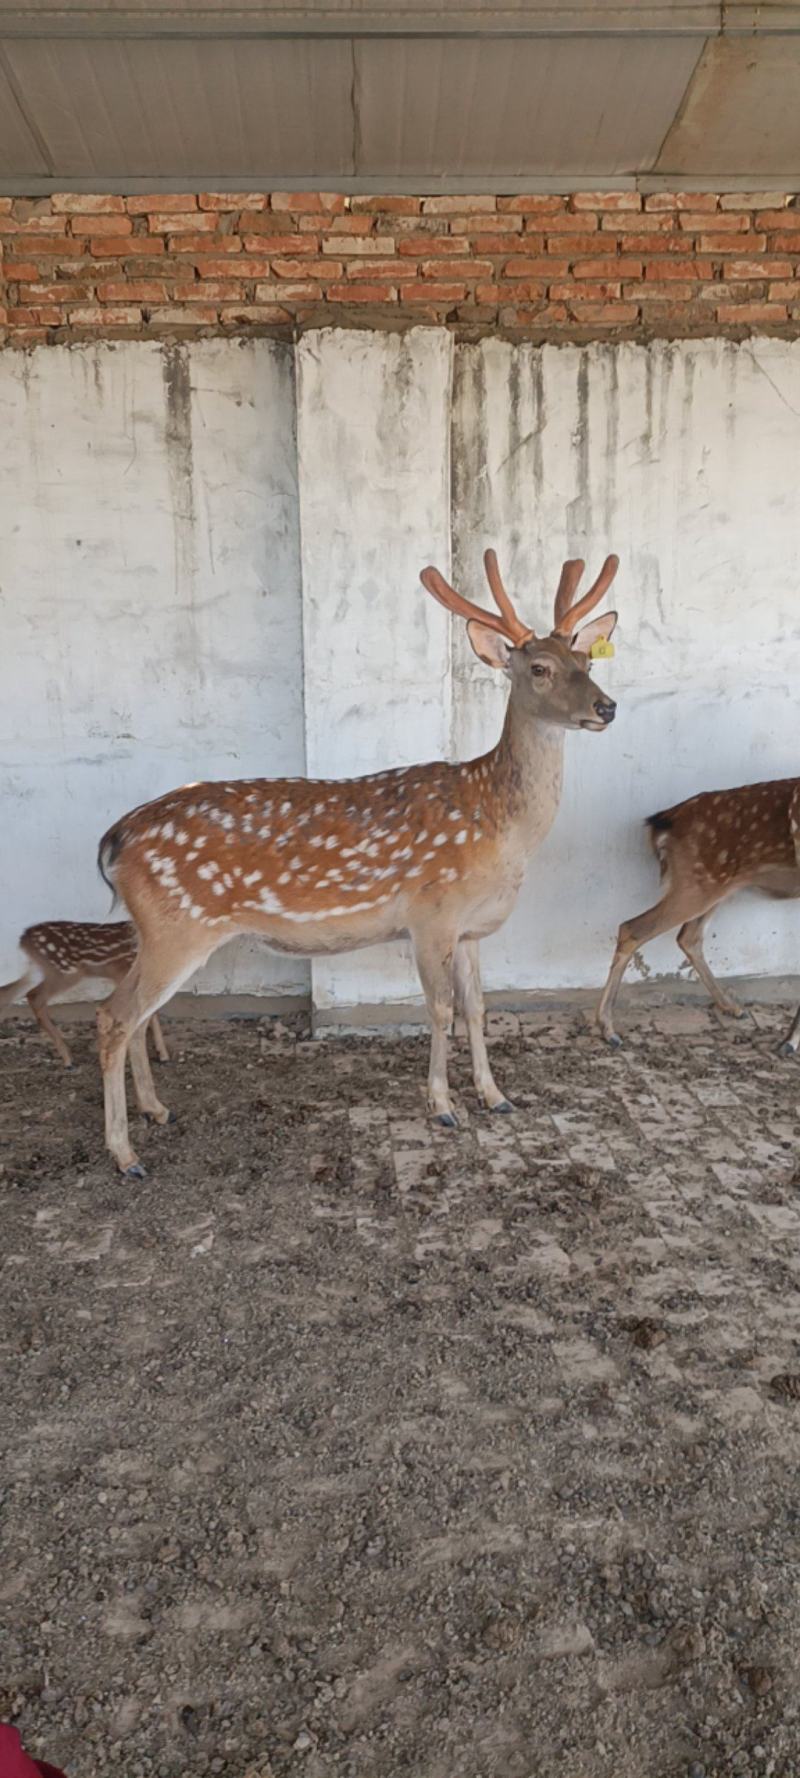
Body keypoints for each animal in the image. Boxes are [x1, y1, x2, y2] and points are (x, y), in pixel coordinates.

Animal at [0, 921, 169, 1069]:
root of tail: (24, 938)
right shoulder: (123, 972)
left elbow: (151, 1011)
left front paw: (162, 1055)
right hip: (65, 972)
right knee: (34, 996)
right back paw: (68, 1060)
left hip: (40, 970)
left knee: (10, 992)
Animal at [95, 546, 620, 1176]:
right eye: (538, 667)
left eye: (585, 658)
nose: (607, 706)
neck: (503, 829)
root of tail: (114, 839)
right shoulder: (431, 913)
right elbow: (439, 1009)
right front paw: (443, 1106)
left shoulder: (470, 928)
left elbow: (477, 1008)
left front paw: (496, 1096)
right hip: (176, 926)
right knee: (113, 1016)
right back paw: (124, 1153)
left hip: (156, 931)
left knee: (135, 1015)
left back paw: (156, 1110)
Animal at [596, 778, 800, 1052]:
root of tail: (664, 820)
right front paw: (789, 1042)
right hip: (697, 882)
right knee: (632, 928)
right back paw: (608, 1029)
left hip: (714, 885)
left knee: (688, 936)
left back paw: (732, 1007)